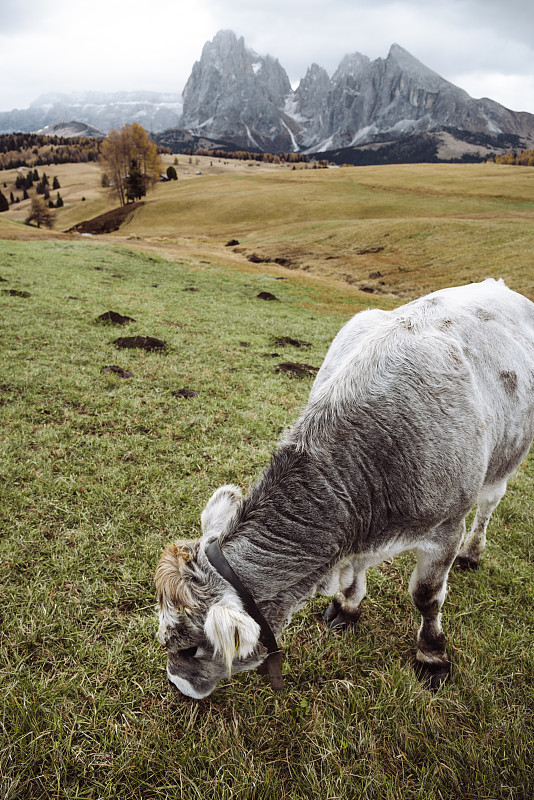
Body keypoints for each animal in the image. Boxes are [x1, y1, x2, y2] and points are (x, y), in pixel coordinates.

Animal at [156, 278, 534, 696]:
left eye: (190, 649)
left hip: (504, 463)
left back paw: (473, 553)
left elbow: (426, 597)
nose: (177, 683)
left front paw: (432, 655)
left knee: (489, 505)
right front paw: (348, 606)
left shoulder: (446, 529)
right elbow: (355, 574)